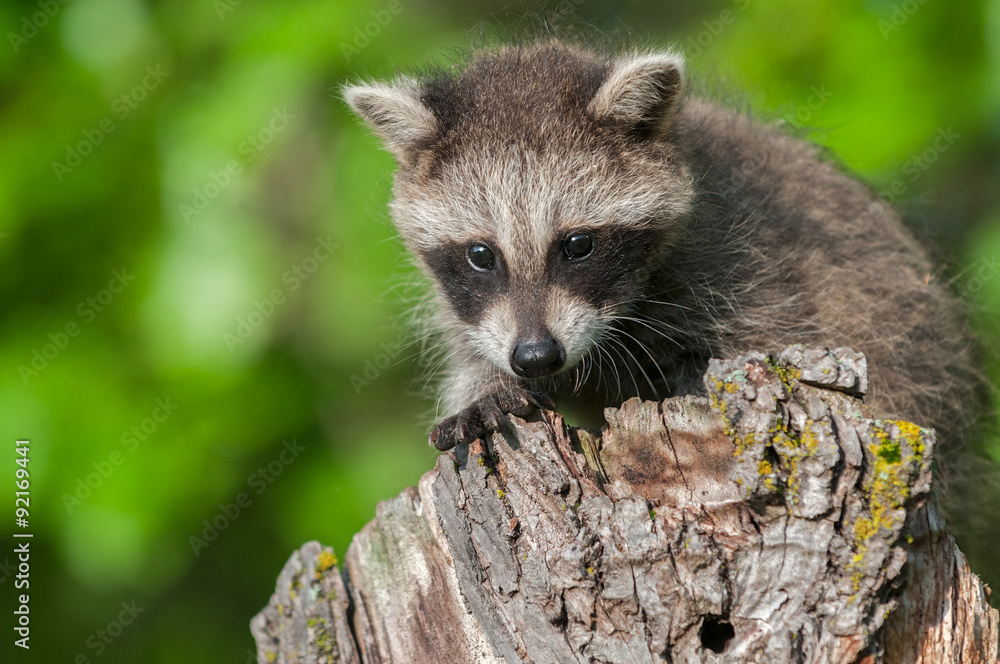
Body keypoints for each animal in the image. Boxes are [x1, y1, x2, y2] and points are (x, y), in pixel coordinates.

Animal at [342, 41, 984, 481]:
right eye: (481, 255)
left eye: (578, 245)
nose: (535, 356)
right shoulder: (474, 310)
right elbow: (475, 349)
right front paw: (488, 388)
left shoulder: (743, 261)